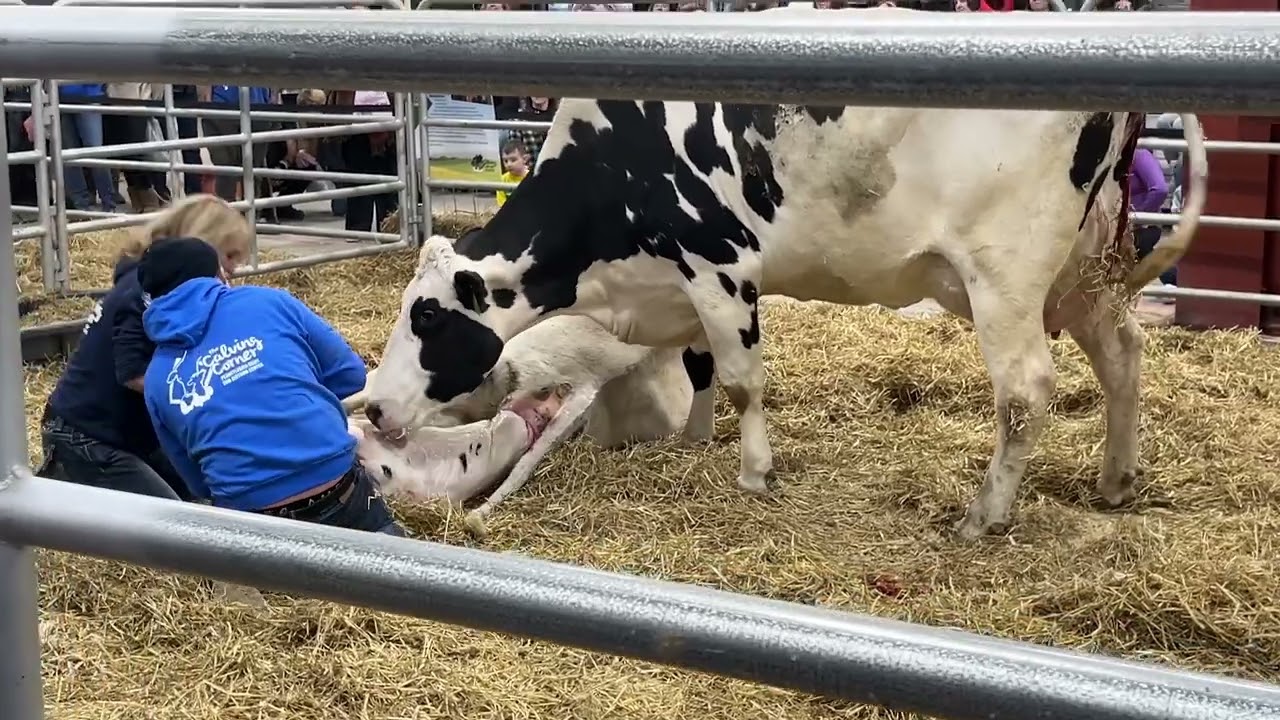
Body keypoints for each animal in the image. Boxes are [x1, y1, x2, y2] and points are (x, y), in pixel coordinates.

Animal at [360, 90, 1207, 540]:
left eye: (428, 317)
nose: (372, 406)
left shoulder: (721, 264)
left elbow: (742, 379)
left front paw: (754, 472)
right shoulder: (682, 287)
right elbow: (702, 365)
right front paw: (696, 442)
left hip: (1005, 274)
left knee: (1026, 391)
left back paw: (985, 515)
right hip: (1083, 271)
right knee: (1123, 352)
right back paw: (1116, 478)